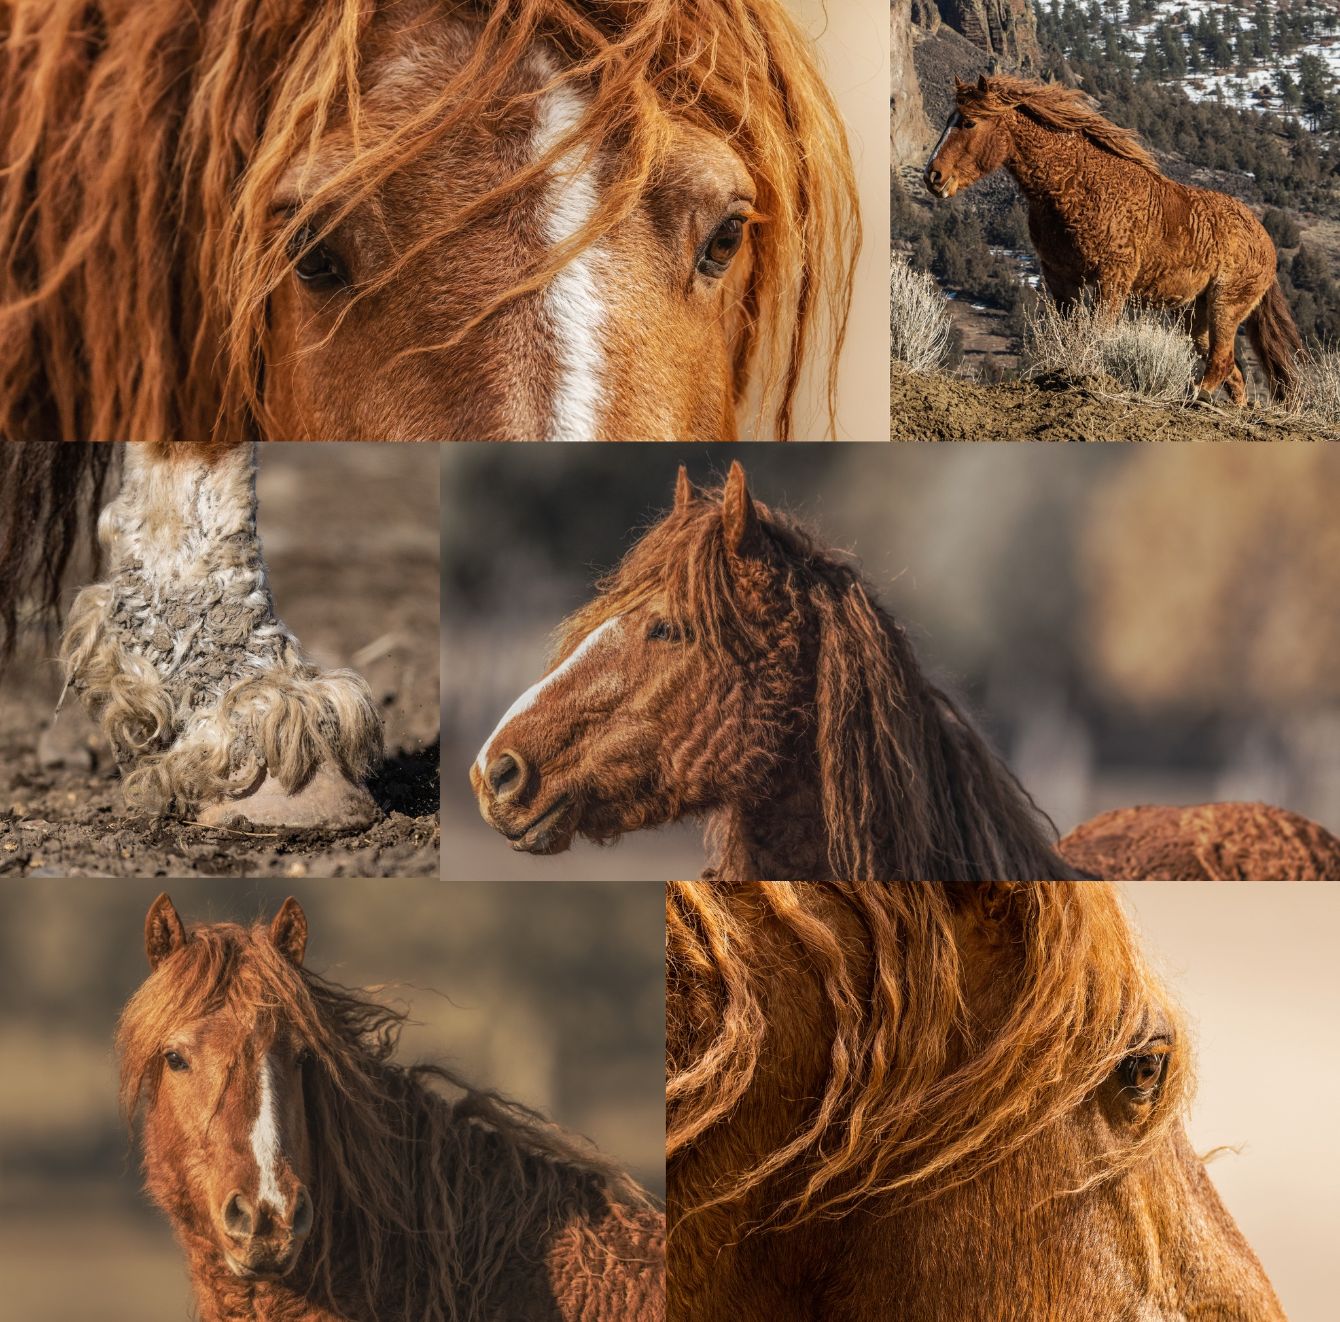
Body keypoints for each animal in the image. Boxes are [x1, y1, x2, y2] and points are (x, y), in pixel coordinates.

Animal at [923, 75, 1303, 406]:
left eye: (969, 122)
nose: (933, 176)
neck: (1073, 184)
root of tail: (1265, 240)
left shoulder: (1112, 280)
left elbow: (1099, 333)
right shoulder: (1061, 278)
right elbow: (1069, 330)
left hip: (1226, 306)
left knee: (1222, 360)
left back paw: (1196, 393)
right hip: (1197, 314)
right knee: (1232, 371)